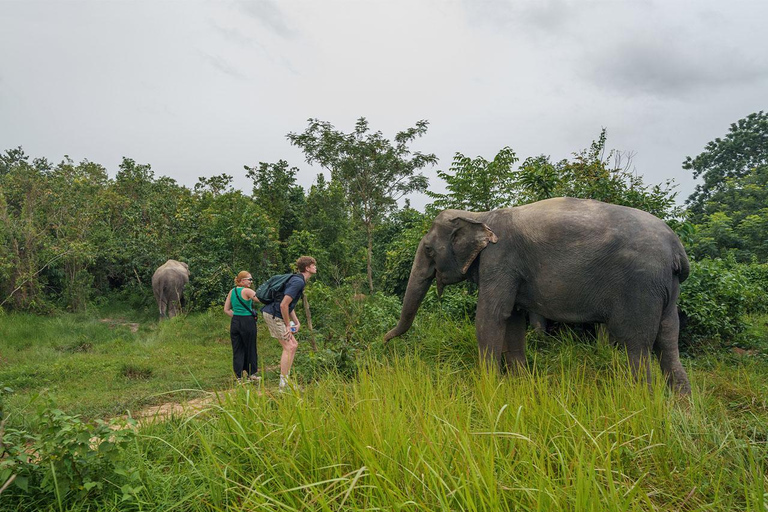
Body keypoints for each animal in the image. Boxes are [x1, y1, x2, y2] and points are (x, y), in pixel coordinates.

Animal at [388, 198, 692, 394]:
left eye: (429, 249)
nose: (384, 340)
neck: (479, 215)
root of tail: (677, 247)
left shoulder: (500, 258)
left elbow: (491, 316)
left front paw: (487, 387)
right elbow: (512, 319)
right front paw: (521, 386)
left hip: (641, 287)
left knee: (637, 345)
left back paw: (643, 403)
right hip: (666, 288)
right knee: (668, 342)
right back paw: (679, 409)